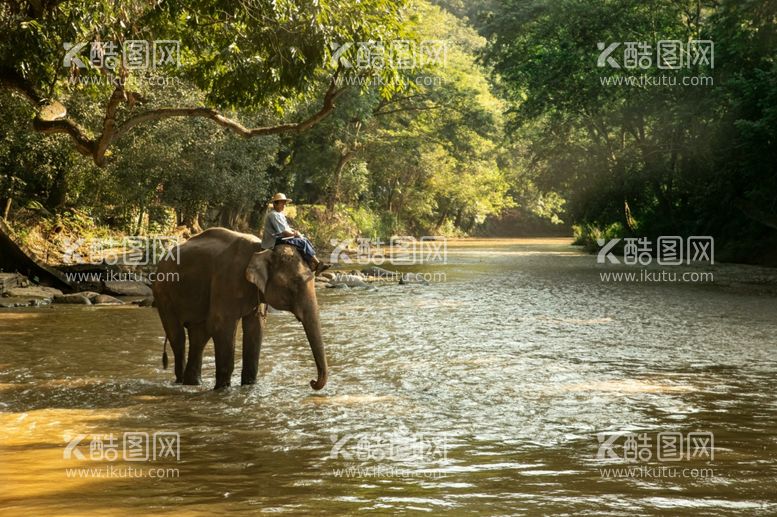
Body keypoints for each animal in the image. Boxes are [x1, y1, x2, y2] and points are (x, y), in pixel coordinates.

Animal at [152, 228, 328, 390]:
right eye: (294, 285)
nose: (312, 381)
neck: (261, 250)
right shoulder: (228, 279)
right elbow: (221, 325)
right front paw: (223, 389)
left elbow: (255, 327)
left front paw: (249, 386)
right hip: (163, 293)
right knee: (178, 336)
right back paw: (181, 382)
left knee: (199, 335)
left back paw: (192, 383)